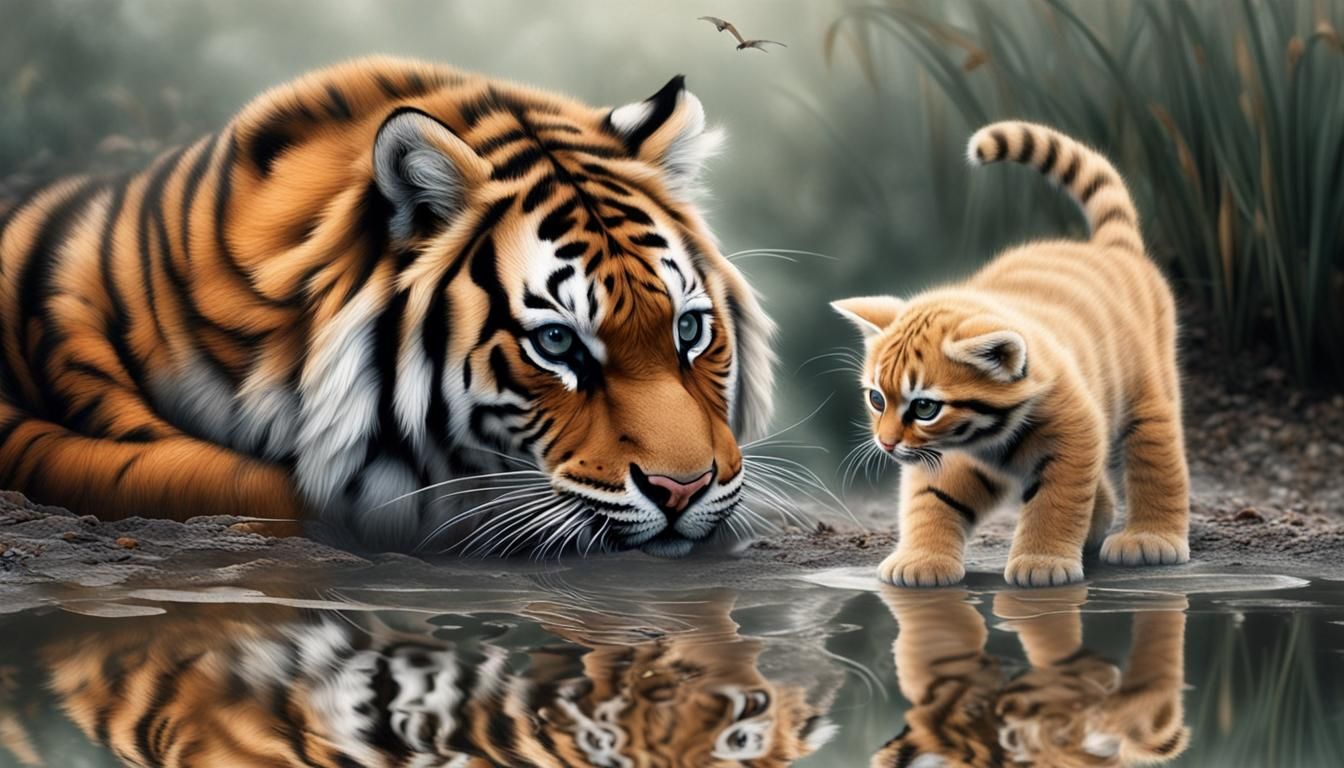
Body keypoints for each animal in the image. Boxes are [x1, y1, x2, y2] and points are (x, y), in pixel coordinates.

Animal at [831, 121, 1189, 587]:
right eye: (877, 398)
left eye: (925, 407)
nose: (886, 444)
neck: (983, 436)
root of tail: (1110, 248)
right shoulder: (944, 459)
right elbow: (931, 500)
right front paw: (921, 561)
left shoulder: (1074, 436)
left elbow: (1055, 501)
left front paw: (1042, 563)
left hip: (1147, 396)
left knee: (1156, 459)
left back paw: (1151, 539)